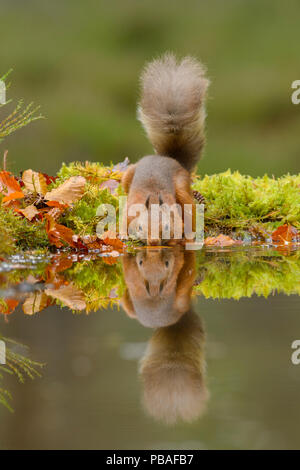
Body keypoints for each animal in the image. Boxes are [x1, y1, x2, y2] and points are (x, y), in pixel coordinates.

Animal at [121, 53, 209, 246]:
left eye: (167, 226)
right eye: (140, 227)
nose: (154, 242)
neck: (153, 198)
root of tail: (170, 159)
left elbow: (180, 224)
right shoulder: (130, 208)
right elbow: (122, 218)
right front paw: (122, 234)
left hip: (182, 185)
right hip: (128, 175)